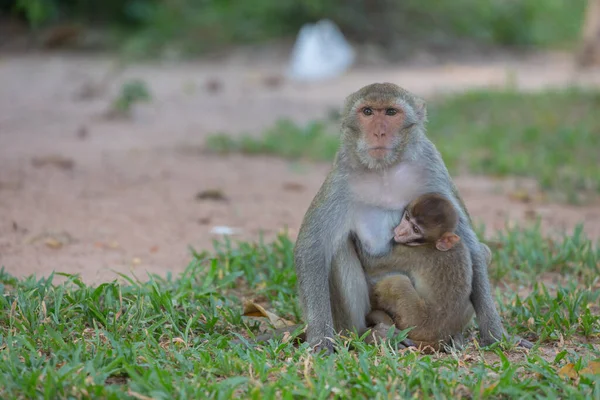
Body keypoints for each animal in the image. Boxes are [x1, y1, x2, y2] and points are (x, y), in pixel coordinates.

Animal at [366, 192, 488, 352]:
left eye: (416, 229)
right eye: (407, 217)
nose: (400, 231)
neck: (432, 244)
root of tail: (440, 338)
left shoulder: (412, 253)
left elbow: (370, 262)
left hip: (415, 322)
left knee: (397, 282)